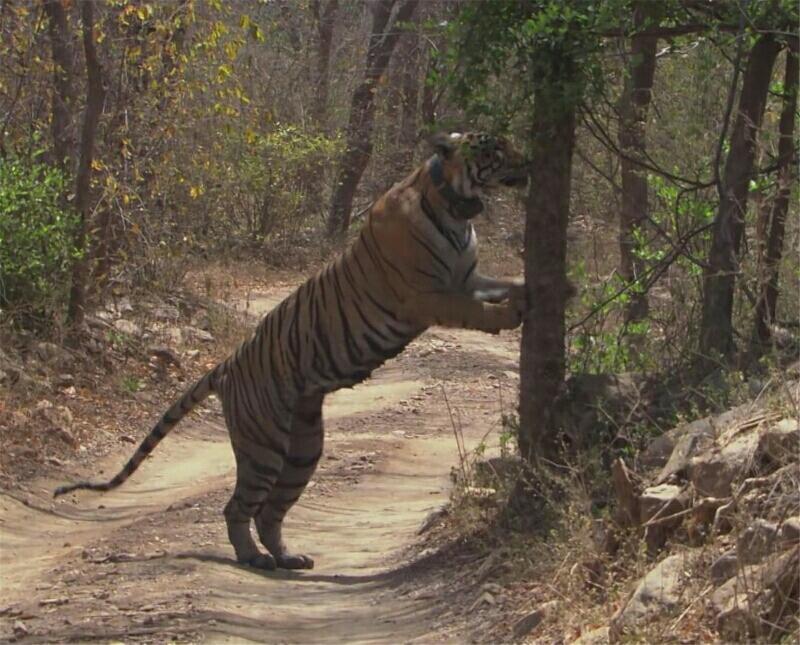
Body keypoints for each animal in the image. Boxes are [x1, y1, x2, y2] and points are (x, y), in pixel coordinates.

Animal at [56, 131, 532, 568]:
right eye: (495, 148)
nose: (528, 160)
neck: (455, 204)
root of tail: (227, 363)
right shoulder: (428, 296)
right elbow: (476, 311)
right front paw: (514, 313)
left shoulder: (467, 279)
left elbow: (503, 283)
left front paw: (535, 289)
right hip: (263, 445)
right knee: (237, 507)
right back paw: (254, 557)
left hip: (303, 448)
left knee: (270, 511)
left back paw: (288, 556)